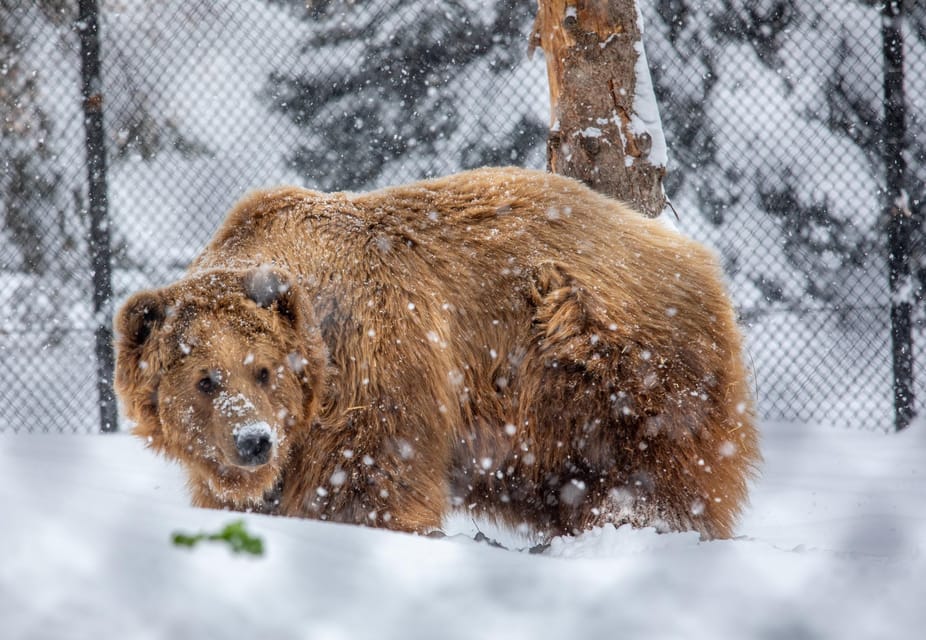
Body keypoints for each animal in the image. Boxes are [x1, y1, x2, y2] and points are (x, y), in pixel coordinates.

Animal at [114, 166, 760, 540]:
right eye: (205, 379)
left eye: (264, 370)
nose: (254, 441)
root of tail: (694, 254)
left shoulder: (375, 370)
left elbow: (367, 485)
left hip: (617, 363)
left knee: (663, 470)